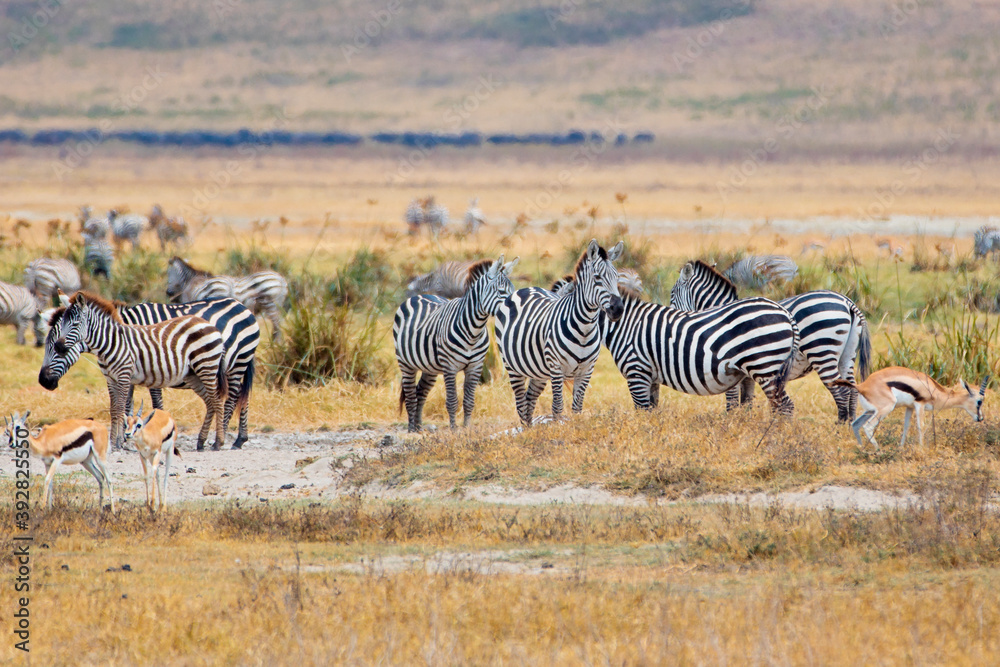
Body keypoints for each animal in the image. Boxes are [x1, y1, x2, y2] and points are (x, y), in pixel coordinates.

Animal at [38, 292, 229, 451]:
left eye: (75, 324)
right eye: (62, 325)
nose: (43, 381)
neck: (110, 342)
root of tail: (208, 324)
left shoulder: (124, 376)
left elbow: (122, 407)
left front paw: (118, 441)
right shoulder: (111, 379)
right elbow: (114, 409)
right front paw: (116, 440)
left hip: (206, 366)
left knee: (218, 401)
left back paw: (218, 442)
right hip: (193, 374)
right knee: (210, 402)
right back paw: (201, 441)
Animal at [394, 255, 519, 432]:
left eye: (512, 290)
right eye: (502, 292)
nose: (514, 310)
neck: (473, 331)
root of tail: (420, 296)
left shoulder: (475, 367)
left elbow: (469, 401)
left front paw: (466, 428)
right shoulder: (450, 367)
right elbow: (452, 401)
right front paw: (453, 429)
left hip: (430, 367)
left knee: (420, 392)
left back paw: (418, 427)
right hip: (405, 363)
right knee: (411, 395)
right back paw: (411, 428)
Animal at [494, 239, 624, 425]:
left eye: (617, 277)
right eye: (597, 277)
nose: (618, 309)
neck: (584, 329)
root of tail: (525, 288)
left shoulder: (587, 370)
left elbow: (577, 408)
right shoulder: (557, 368)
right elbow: (557, 407)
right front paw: (558, 429)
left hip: (538, 372)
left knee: (529, 401)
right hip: (512, 366)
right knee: (520, 404)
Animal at [670, 260, 871, 421]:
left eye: (672, 294)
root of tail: (847, 302)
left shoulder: (729, 367)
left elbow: (732, 401)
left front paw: (731, 423)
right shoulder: (747, 373)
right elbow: (747, 401)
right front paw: (746, 423)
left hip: (822, 351)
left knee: (841, 391)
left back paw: (841, 425)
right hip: (847, 355)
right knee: (852, 389)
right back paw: (850, 426)